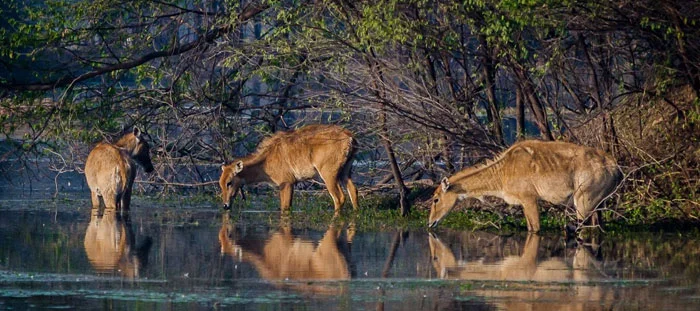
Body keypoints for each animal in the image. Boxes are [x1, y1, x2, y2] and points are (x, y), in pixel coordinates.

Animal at [220, 124, 360, 214]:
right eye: (220, 184)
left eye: (229, 182)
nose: (225, 205)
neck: (266, 160)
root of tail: (350, 138)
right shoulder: (290, 184)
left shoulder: (286, 183)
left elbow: (285, 207)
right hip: (345, 172)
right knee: (353, 191)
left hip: (329, 174)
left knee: (339, 198)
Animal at [426, 140, 624, 233]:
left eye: (436, 199)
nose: (430, 223)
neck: (504, 171)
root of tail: (614, 167)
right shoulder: (523, 204)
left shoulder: (530, 199)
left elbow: (535, 229)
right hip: (598, 204)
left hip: (583, 201)